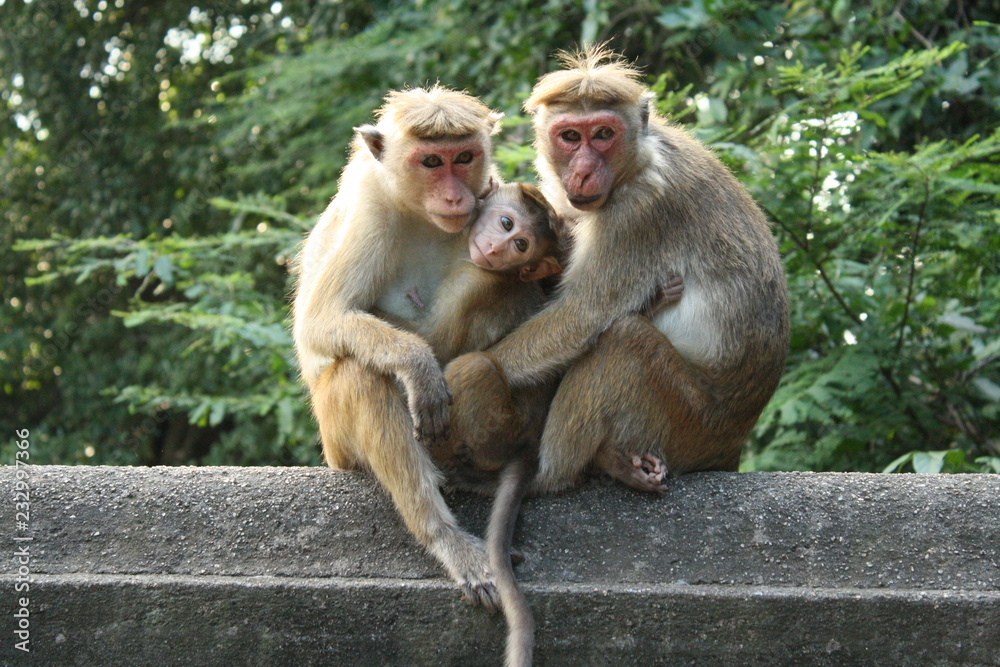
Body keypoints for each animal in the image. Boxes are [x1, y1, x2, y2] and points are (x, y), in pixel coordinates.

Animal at [291, 85, 506, 609]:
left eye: (464, 157)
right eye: (430, 161)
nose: (455, 195)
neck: (421, 216)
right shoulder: (372, 215)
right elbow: (320, 320)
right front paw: (418, 365)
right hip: (335, 440)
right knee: (360, 374)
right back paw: (443, 536)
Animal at [445, 45, 789, 499]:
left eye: (603, 134)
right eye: (571, 137)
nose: (584, 170)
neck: (638, 164)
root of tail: (730, 448)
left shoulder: (639, 214)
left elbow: (580, 316)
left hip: (687, 422)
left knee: (623, 340)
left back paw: (546, 477)